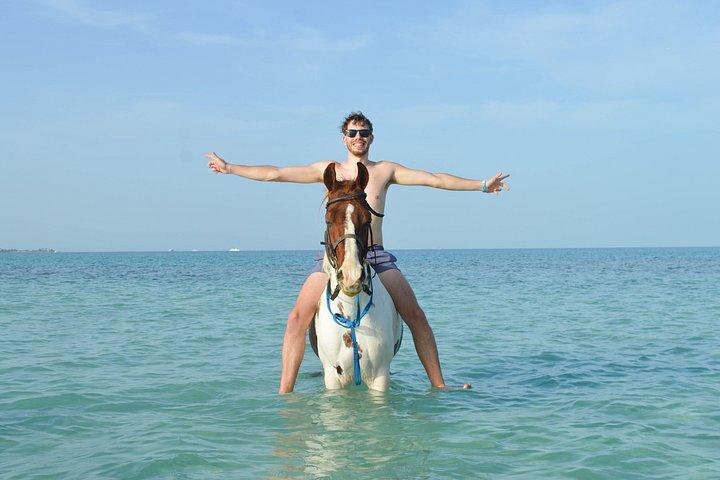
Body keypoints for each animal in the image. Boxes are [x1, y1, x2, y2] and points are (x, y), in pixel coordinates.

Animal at [309, 162, 403, 391]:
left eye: (367, 219)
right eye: (328, 220)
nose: (352, 277)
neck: (352, 314)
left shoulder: (380, 376)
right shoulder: (332, 378)